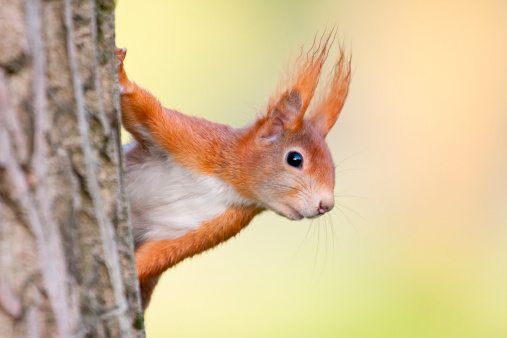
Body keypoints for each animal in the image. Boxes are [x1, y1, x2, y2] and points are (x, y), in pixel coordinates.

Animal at [117, 35, 352, 308]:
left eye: (333, 167)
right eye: (295, 158)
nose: (326, 205)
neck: (228, 183)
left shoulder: (216, 225)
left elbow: (158, 256)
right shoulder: (193, 141)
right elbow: (145, 112)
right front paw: (121, 75)